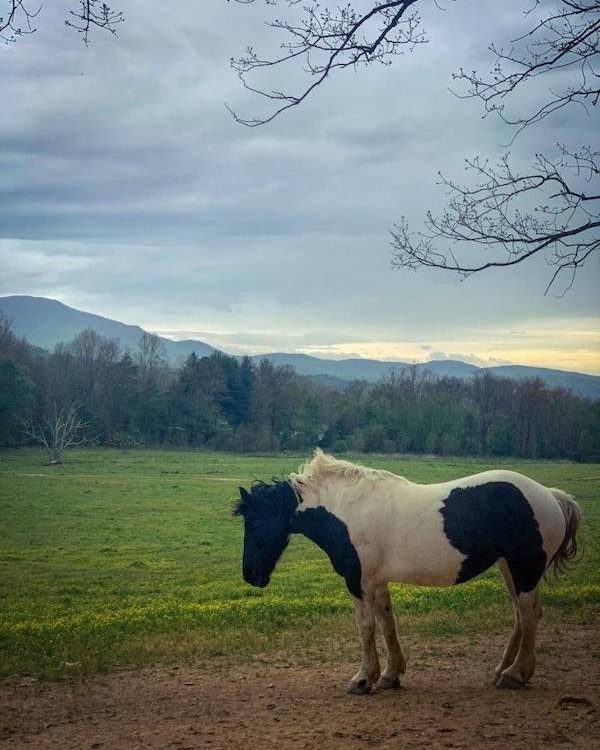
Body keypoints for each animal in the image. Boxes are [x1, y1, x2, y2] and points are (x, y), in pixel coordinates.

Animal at [234, 450, 580, 696]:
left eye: (254, 522)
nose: (251, 575)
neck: (348, 510)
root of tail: (551, 495)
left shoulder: (358, 581)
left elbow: (365, 627)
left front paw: (363, 679)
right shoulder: (377, 581)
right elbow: (387, 623)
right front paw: (390, 675)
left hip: (524, 568)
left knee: (529, 614)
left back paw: (515, 675)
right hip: (510, 568)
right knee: (521, 615)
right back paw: (501, 671)